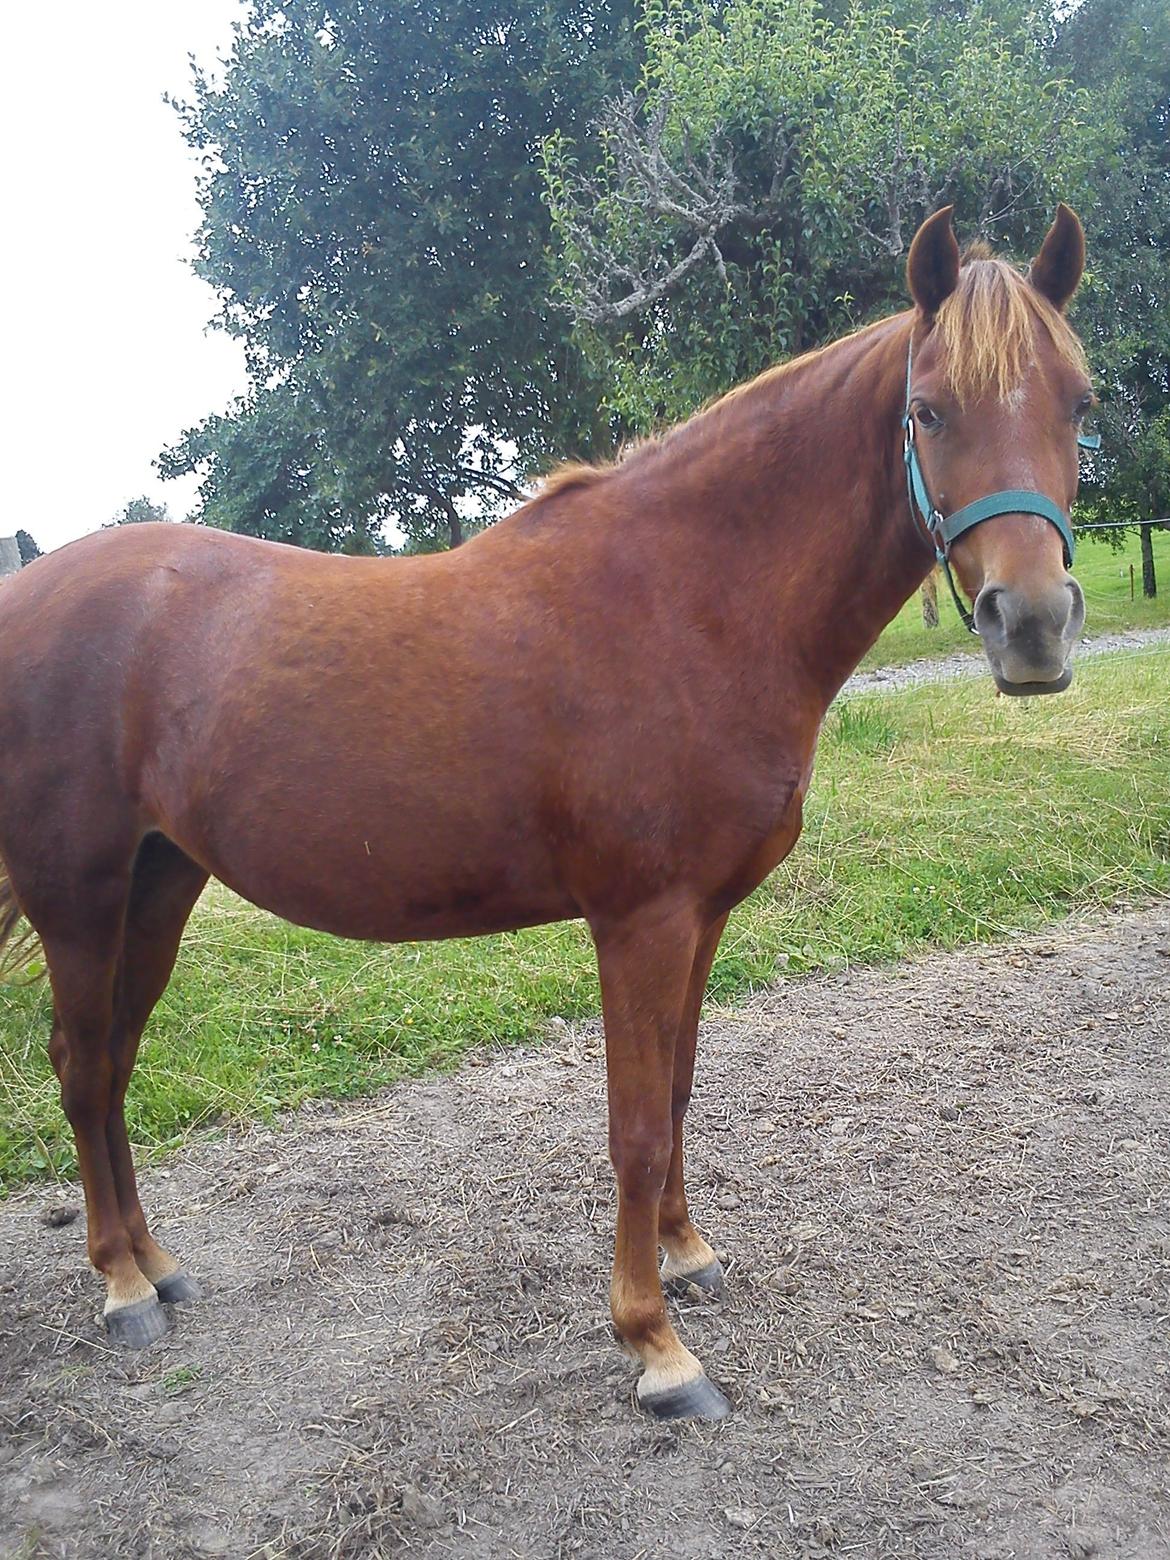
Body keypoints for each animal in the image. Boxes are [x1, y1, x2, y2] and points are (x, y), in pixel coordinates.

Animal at [0, 206, 1093, 1420]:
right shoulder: (640, 922)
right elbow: (635, 1129)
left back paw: (158, 1266)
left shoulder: (702, 917)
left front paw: (687, 1257)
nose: (1032, 624)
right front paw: (654, 1345)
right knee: (81, 1065)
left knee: (113, 1063)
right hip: (79, 894)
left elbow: (677, 1093)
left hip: (159, 881)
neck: (689, 601)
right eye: (929, 409)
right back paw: (119, 1287)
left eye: (1080, 403)